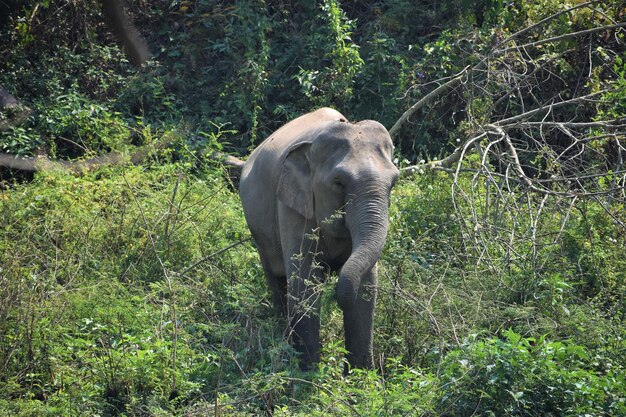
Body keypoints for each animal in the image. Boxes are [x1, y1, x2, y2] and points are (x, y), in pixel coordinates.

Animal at [236, 106, 398, 368]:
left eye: (393, 183)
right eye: (338, 182)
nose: (336, 297)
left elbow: (366, 289)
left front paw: (362, 375)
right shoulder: (291, 205)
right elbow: (304, 281)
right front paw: (308, 370)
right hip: (259, 231)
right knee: (276, 277)